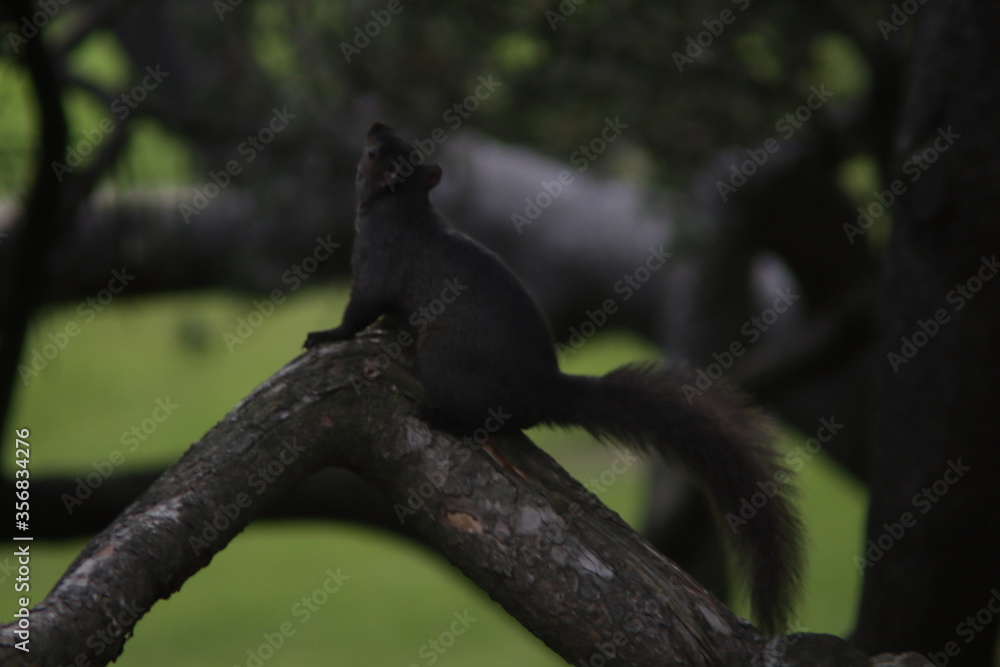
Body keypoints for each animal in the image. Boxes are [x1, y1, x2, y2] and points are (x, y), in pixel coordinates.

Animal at [304, 122, 802, 632]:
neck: (402, 209)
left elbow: (360, 310)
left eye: (374, 152)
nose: (376, 126)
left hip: (442, 357)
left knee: (485, 421)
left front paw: (328, 334)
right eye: (396, 146)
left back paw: (445, 419)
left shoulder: (377, 267)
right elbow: (386, 316)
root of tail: (541, 392)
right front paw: (385, 330)